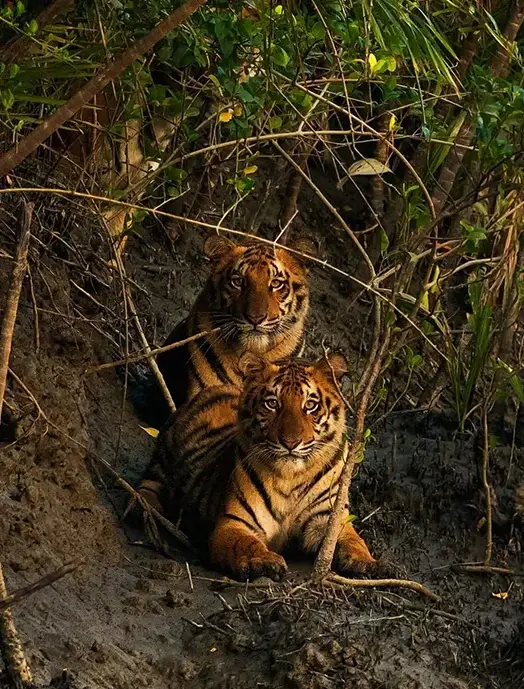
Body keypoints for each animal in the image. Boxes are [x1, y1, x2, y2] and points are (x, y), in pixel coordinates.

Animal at [149, 351, 377, 581]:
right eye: (272, 404)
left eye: (310, 405)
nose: (290, 443)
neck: (291, 478)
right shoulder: (235, 522)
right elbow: (245, 543)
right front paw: (263, 561)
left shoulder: (327, 518)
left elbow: (352, 539)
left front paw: (365, 561)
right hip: (159, 470)